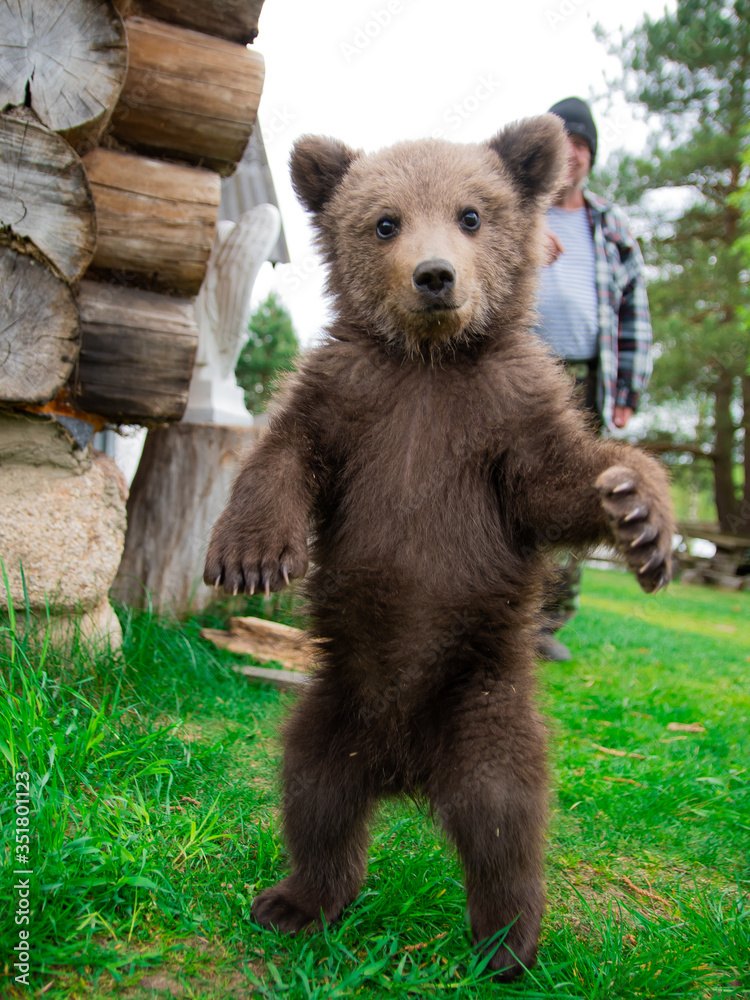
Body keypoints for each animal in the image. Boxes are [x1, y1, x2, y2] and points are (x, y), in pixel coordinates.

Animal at [204, 114, 675, 981]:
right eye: (384, 222)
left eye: (472, 215)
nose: (434, 277)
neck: (428, 360)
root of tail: (405, 768)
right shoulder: (349, 399)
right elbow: (281, 455)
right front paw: (250, 554)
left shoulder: (504, 416)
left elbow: (557, 484)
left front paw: (637, 508)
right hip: (332, 709)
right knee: (314, 797)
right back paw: (295, 901)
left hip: (483, 710)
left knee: (504, 825)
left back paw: (506, 943)